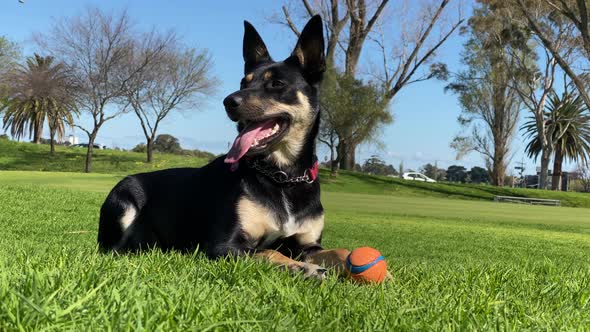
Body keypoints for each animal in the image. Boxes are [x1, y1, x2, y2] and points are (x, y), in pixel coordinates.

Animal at [97, 16, 356, 280]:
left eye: (277, 83)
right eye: (243, 82)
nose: (229, 101)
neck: (283, 176)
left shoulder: (308, 245)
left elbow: (341, 251)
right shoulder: (225, 245)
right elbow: (270, 252)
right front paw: (303, 267)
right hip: (123, 201)